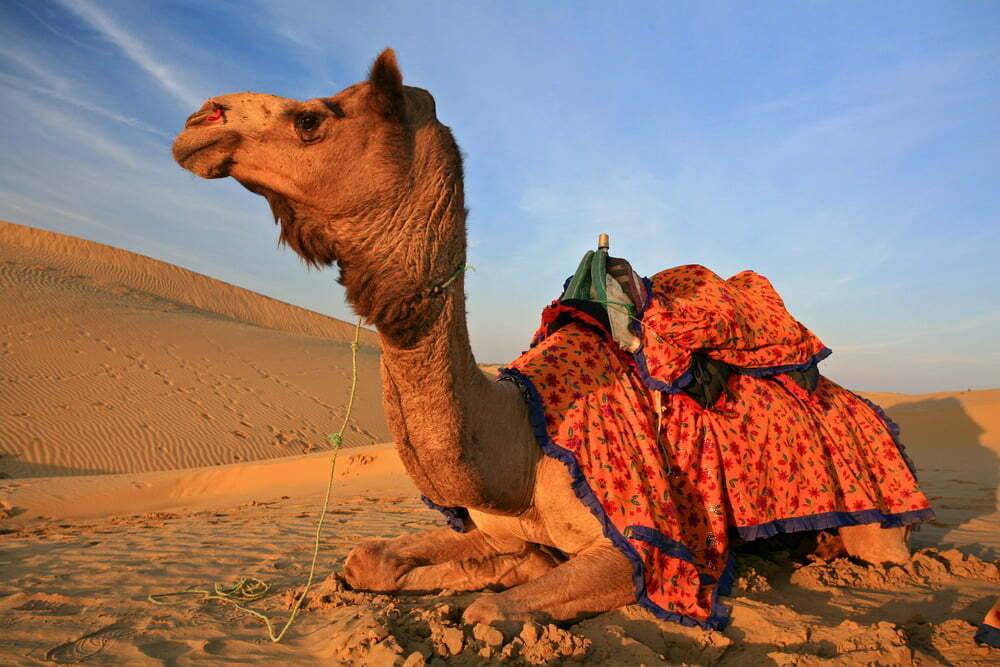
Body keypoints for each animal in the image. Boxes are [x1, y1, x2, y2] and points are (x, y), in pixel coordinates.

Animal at [171, 49, 915, 626]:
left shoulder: (638, 546)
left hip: (880, 528)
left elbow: (489, 607)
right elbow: (371, 557)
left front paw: (496, 581)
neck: (519, 444)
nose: (198, 120)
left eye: (311, 118)